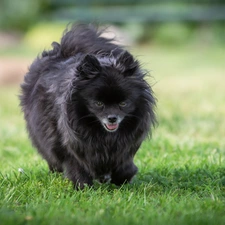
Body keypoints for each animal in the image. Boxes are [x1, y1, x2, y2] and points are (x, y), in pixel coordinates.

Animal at [20, 23, 156, 189]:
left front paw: (121, 178)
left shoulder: (122, 146)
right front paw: (83, 186)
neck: (103, 134)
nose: (112, 118)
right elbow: (75, 164)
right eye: (98, 103)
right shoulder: (69, 143)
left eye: (123, 103)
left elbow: (124, 164)